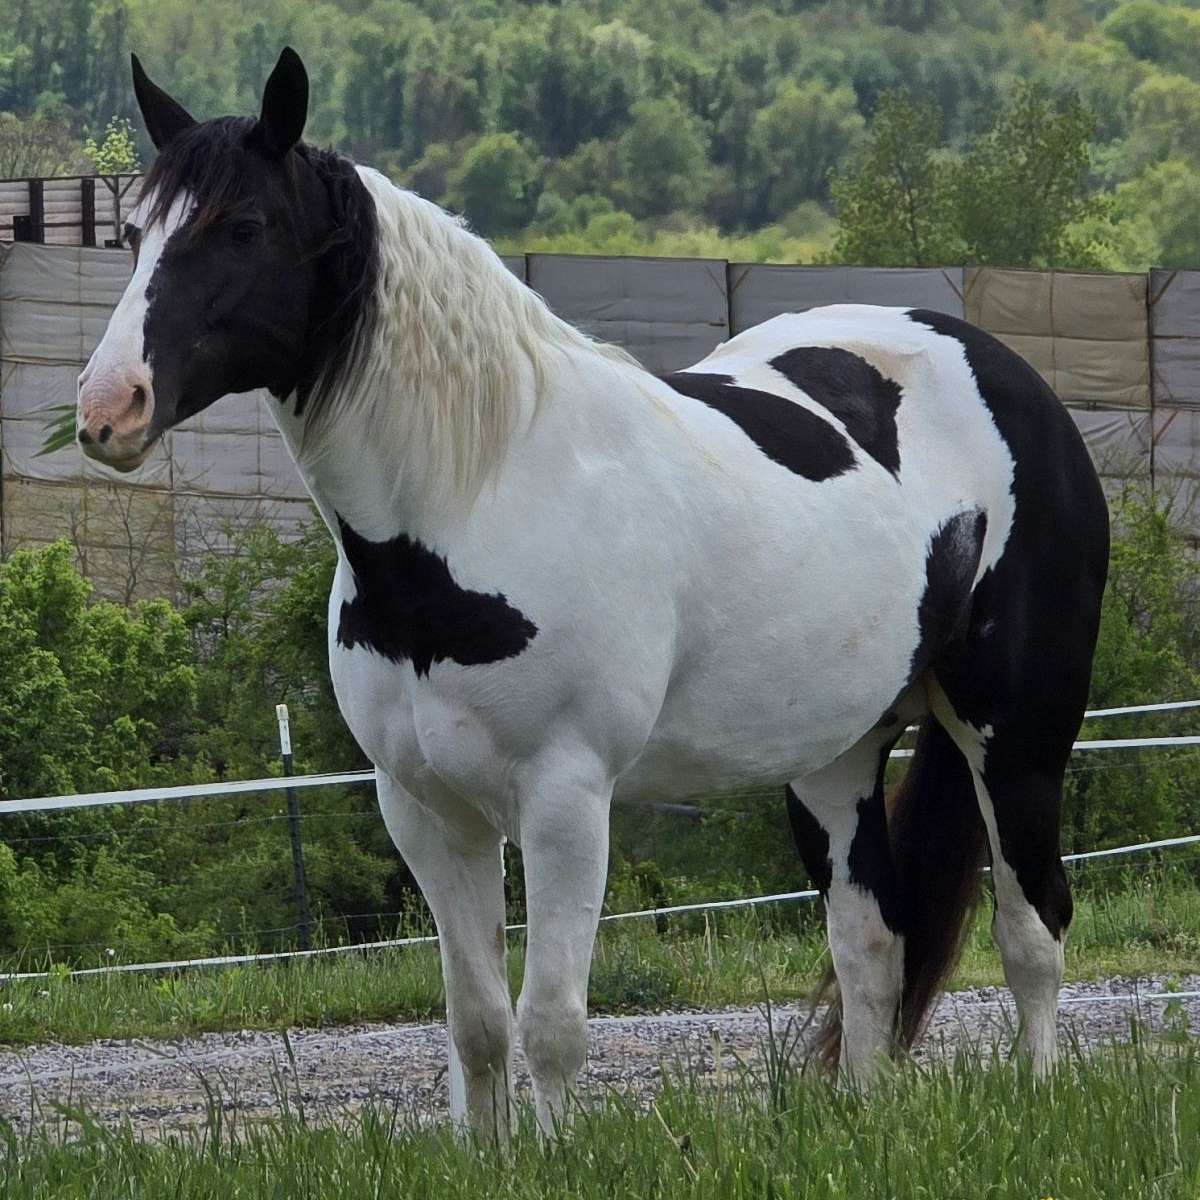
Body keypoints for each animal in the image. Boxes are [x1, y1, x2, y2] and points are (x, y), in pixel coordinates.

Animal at [77, 48, 1109, 1137]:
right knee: (871, 944)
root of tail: (1004, 372)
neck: (479, 500)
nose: (108, 409)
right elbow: (476, 1025)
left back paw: (1043, 1096)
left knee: (1032, 929)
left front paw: (556, 1152)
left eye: (242, 227)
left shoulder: (565, 798)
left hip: (1016, 735)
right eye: (133, 232)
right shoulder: (425, 810)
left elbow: (552, 1024)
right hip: (837, 754)